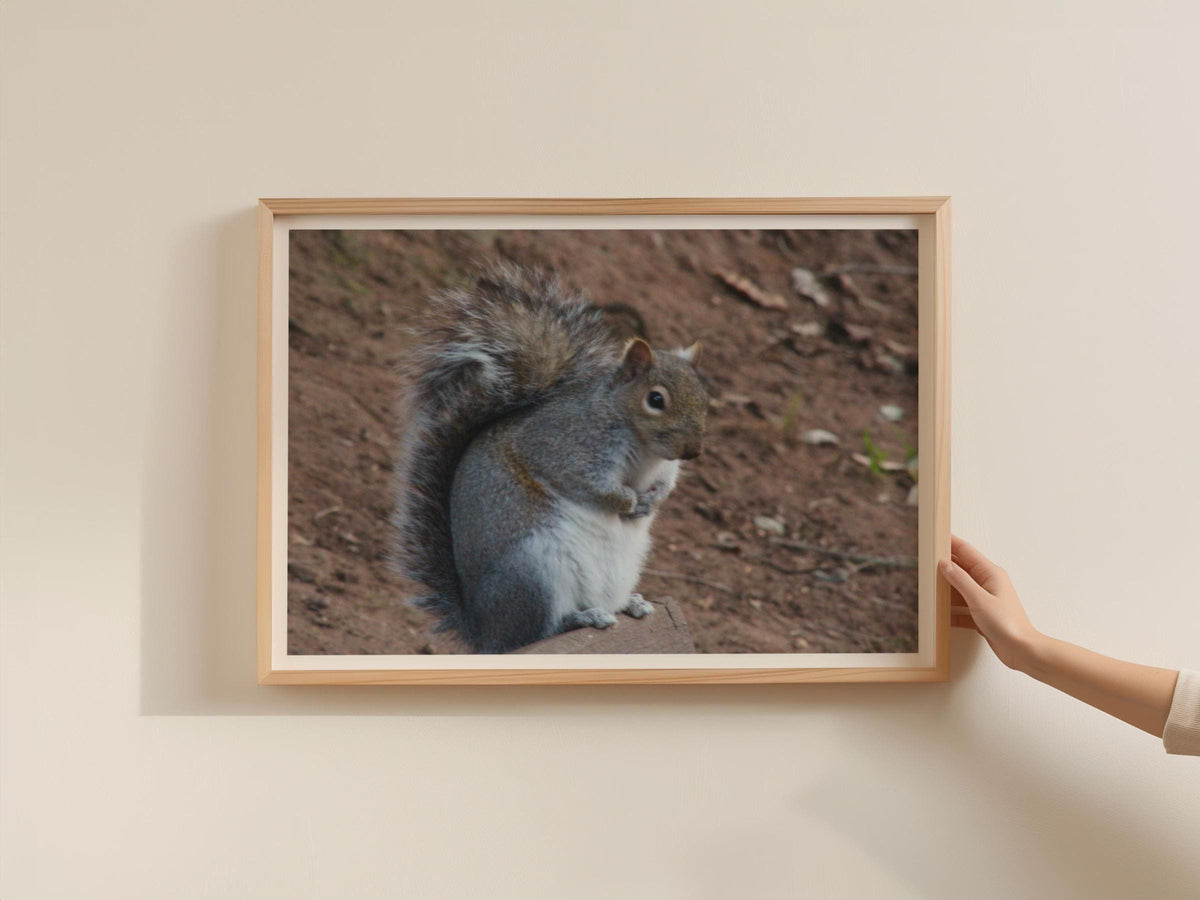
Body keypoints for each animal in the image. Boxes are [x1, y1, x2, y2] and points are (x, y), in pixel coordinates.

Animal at [390, 263, 708, 653]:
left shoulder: (665, 467)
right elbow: (588, 484)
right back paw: (583, 617)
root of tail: (486, 634)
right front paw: (628, 501)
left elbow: (666, 485)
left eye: (703, 395)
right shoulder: (563, 446)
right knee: (541, 632)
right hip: (534, 570)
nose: (693, 450)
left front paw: (651, 501)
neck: (645, 449)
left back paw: (628, 603)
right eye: (656, 399)